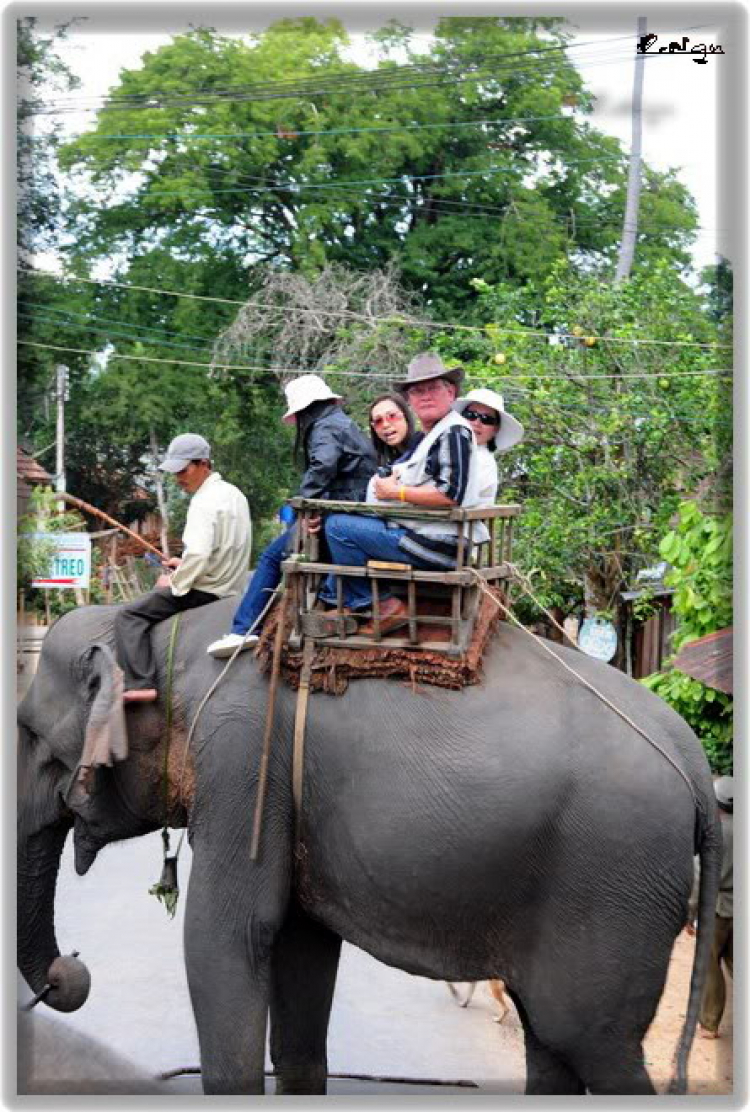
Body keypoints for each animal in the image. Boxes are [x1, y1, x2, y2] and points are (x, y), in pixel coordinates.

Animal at [17, 600, 716, 1094]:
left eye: (29, 735)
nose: (67, 972)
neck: (171, 638)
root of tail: (695, 765)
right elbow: (301, 948)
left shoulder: (242, 759)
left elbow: (227, 938)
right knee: (550, 1041)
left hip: (617, 883)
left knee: (594, 1043)